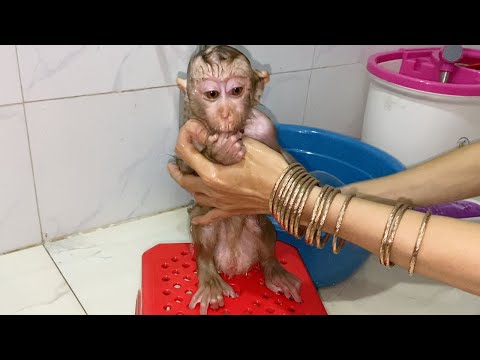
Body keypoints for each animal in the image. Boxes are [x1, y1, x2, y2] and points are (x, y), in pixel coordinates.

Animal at [173, 45, 300, 316]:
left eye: (236, 91)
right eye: (212, 94)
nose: (225, 112)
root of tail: (234, 263)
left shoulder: (265, 126)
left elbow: (283, 159)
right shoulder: (189, 127)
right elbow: (186, 168)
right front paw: (221, 153)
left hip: (257, 232)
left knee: (262, 226)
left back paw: (273, 268)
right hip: (206, 229)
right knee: (203, 228)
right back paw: (209, 277)